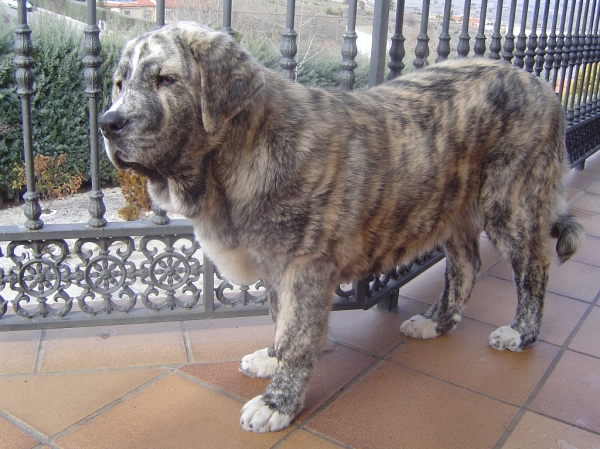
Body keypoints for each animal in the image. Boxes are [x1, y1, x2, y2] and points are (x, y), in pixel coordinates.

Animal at [99, 21, 584, 434]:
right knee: (466, 265)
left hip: (511, 202)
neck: (239, 154)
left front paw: (277, 403)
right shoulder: (274, 264)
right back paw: (437, 322)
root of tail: (540, 83)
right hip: (453, 208)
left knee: (534, 268)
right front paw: (271, 360)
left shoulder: (304, 266)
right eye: (120, 83)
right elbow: (279, 319)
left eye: (166, 80)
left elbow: (296, 335)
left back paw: (521, 333)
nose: (108, 123)